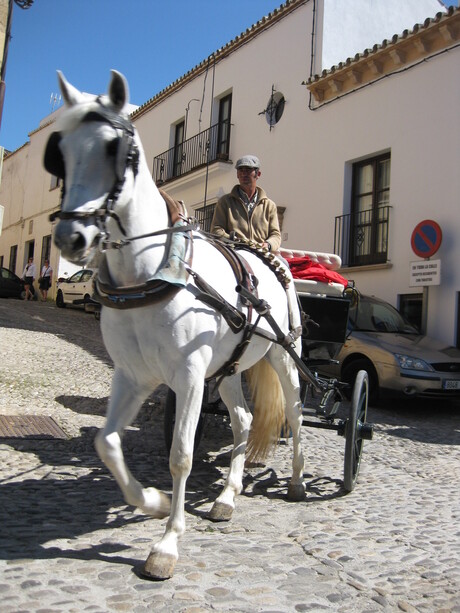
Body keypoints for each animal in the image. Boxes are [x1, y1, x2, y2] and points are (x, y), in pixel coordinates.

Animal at [45, 71, 306, 580]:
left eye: (118, 150)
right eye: (59, 151)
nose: (72, 237)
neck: (151, 274)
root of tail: (274, 260)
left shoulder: (187, 377)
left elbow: (181, 456)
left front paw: (167, 543)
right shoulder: (132, 375)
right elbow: (107, 443)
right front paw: (154, 501)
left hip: (283, 355)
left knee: (297, 411)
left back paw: (300, 482)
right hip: (227, 371)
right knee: (244, 419)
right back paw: (227, 495)